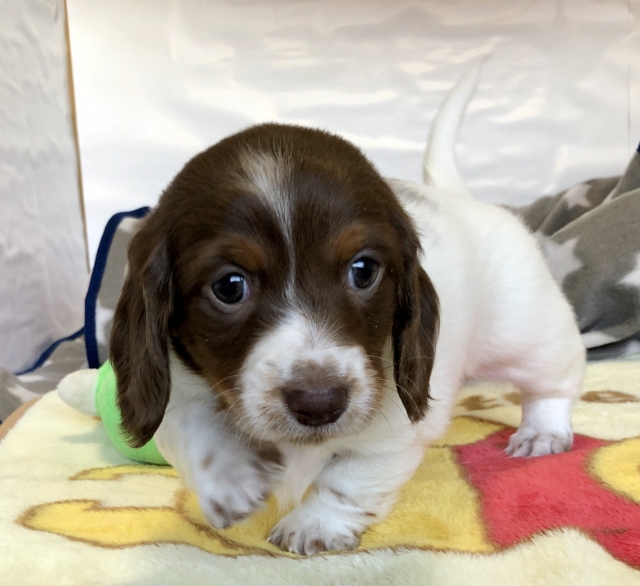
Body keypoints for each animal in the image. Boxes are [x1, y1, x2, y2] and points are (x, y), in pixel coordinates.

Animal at [110, 64, 585, 555]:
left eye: (363, 270)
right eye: (229, 286)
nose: (319, 403)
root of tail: (464, 199)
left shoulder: (392, 435)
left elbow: (349, 478)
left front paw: (314, 523)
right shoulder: (174, 384)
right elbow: (186, 424)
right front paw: (227, 479)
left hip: (526, 331)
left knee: (555, 379)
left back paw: (543, 431)